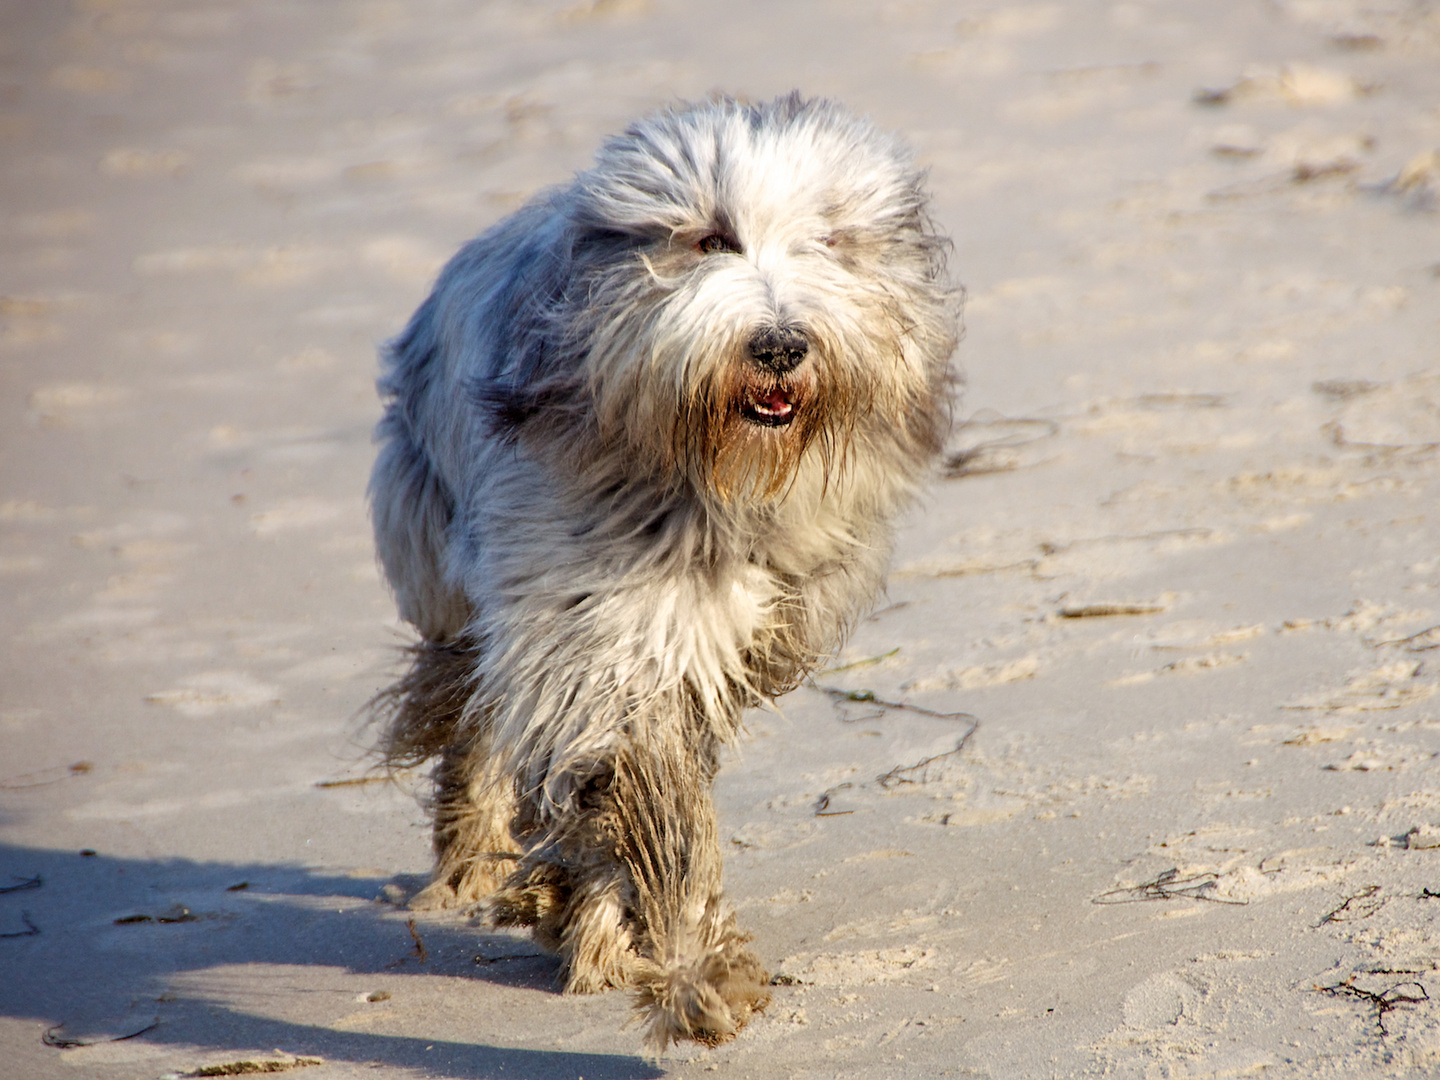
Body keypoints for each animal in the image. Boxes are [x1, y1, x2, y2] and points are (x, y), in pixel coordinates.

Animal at [368, 92, 956, 1048]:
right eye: (709, 240)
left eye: (826, 242)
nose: (780, 346)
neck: (714, 478)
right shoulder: (605, 629)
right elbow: (650, 801)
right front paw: (691, 972)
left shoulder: (704, 650)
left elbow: (643, 794)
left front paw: (607, 929)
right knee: (470, 716)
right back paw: (468, 865)